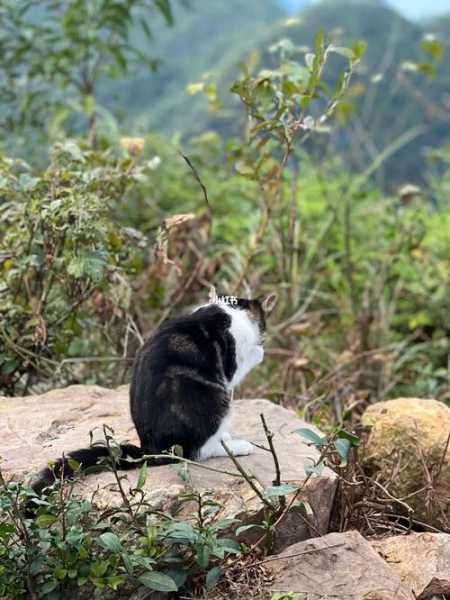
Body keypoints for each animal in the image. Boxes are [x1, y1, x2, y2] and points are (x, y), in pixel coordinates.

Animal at [28, 288, 276, 504]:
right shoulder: (232, 363)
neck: (228, 310)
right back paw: (238, 446)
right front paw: (259, 351)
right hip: (215, 399)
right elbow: (244, 362)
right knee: (197, 451)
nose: (264, 337)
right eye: (263, 325)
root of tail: (151, 451)